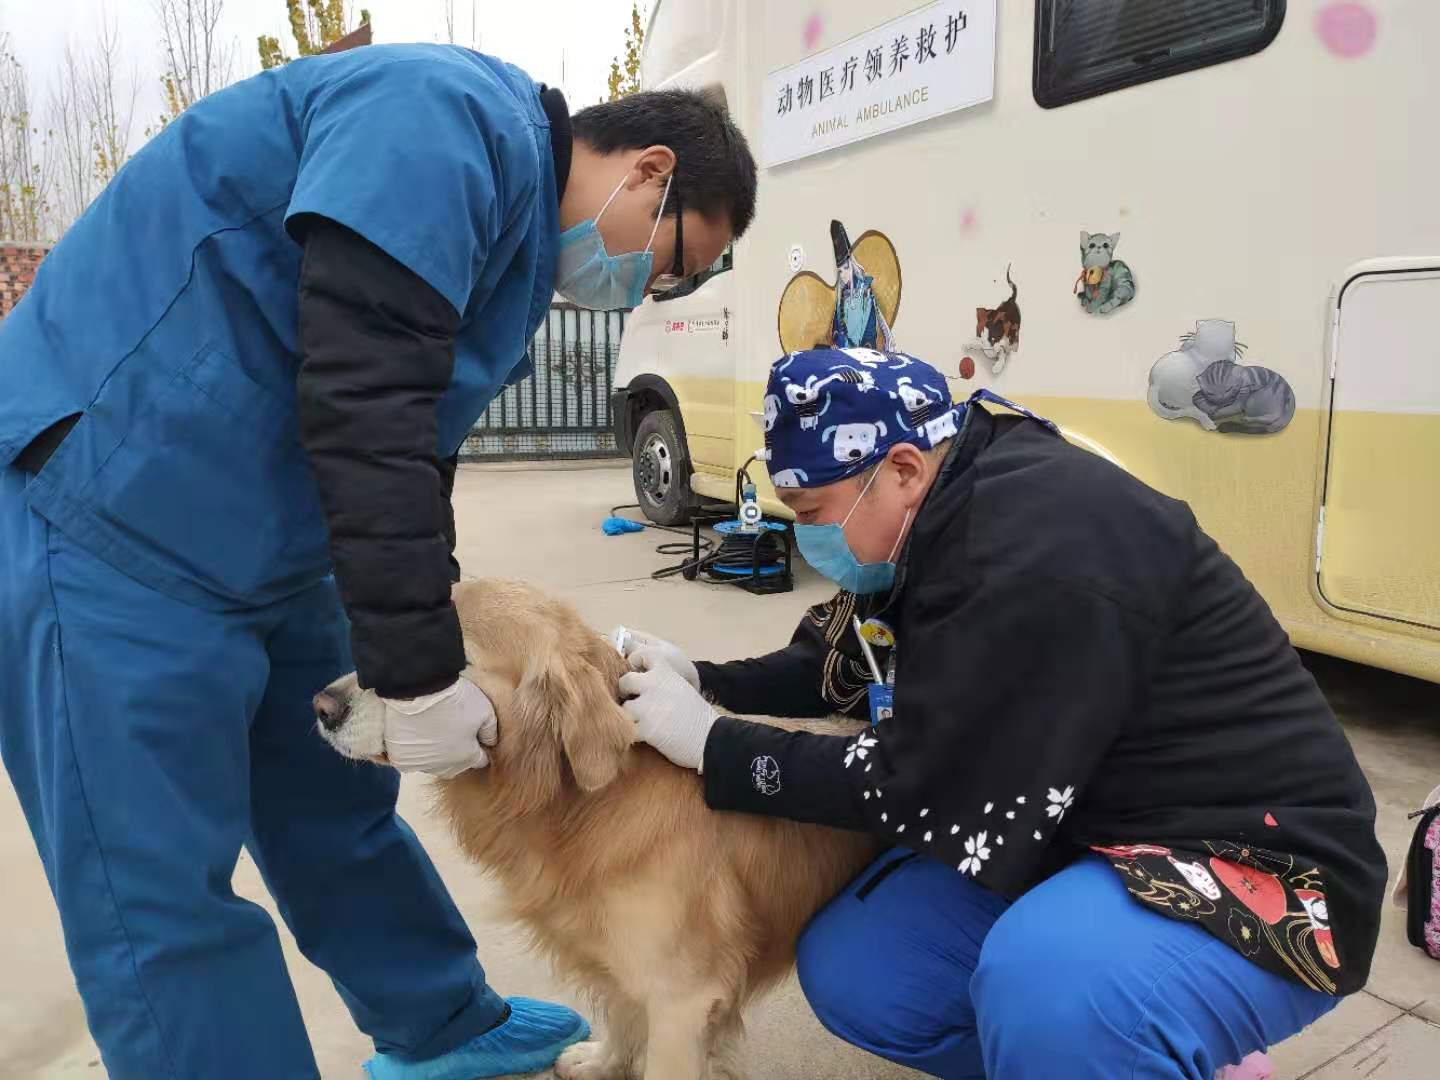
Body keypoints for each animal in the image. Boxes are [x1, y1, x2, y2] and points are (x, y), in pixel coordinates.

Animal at [315, 584, 875, 1080]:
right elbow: (621, 1014)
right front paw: (603, 1063)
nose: (321, 706)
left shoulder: (682, 999)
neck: (592, 803)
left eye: (444, 665)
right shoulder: (619, 961)